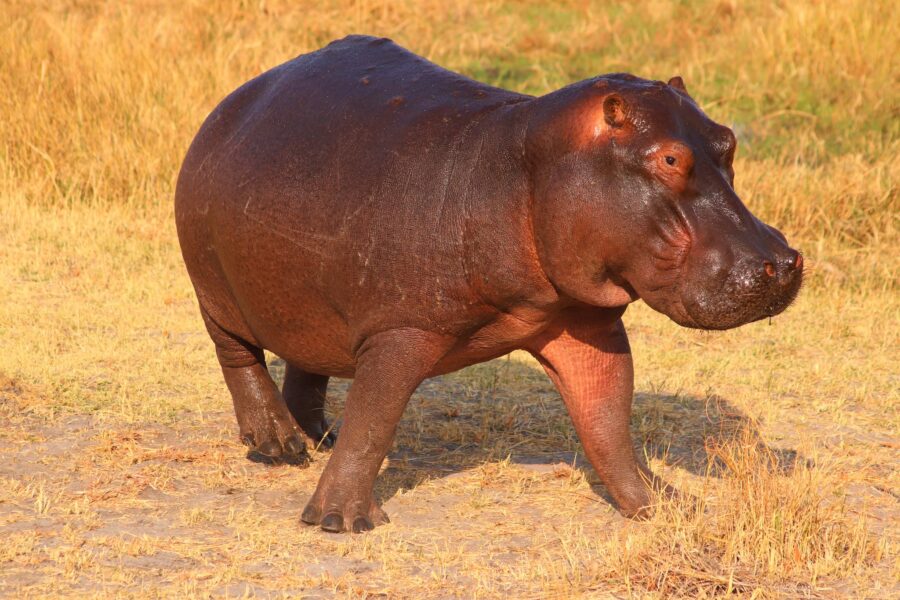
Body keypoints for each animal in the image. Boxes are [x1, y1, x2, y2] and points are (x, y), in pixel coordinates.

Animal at [175, 35, 803, 533]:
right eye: (670, 159)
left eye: (728, 141)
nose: (783, 261)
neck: (525, 166)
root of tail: (238, 97)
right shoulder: (401, 330)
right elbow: (375, 418)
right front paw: (341, 521)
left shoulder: (584, 324)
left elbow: (608, 421)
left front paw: (668, 506)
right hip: (215, 291)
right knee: (238, 356)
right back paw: (278, 447)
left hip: (313, 302)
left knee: (310, 360)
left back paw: (316, 437)